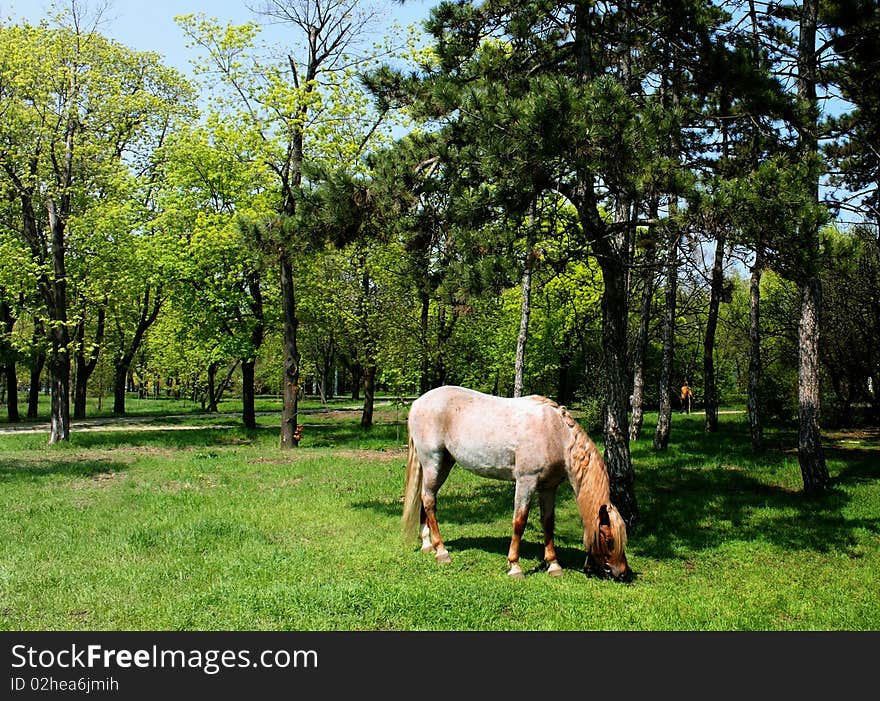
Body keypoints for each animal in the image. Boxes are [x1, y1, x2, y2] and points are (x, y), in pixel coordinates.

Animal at [402, 386, 628, 576]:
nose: (623, 573)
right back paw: (441, 551)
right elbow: (519, 521)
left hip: (443, 465)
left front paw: (553, 564)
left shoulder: (548, 487)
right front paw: (515, 566)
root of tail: (419, 402)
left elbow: (548, 522)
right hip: (433, 463)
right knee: (429, 501)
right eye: (609, 540)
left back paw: (427, 544)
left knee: (425, 498)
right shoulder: (526, 482)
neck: (555, 433)